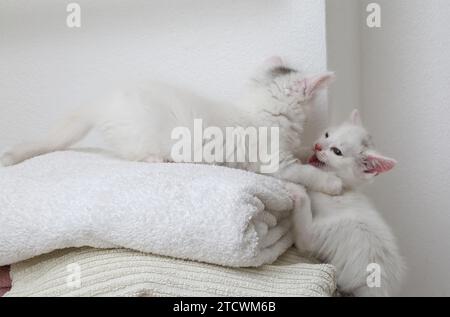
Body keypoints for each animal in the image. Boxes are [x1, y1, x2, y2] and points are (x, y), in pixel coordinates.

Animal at [1, 57, 342, 193]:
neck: (261, 111)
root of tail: (104, 101)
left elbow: (304, 150)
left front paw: (314, 150)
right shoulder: (278, 164)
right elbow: (307, 174)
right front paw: (332, 182)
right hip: (141, 137)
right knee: (136, 156)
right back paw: (156, 159)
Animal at [290, 110, 406, 296]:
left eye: (337, 151)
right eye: (327, 134)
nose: (318, 146)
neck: (344, 189)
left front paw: (296, 186)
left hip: (342, 230)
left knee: (306, 235)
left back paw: (297, 191)